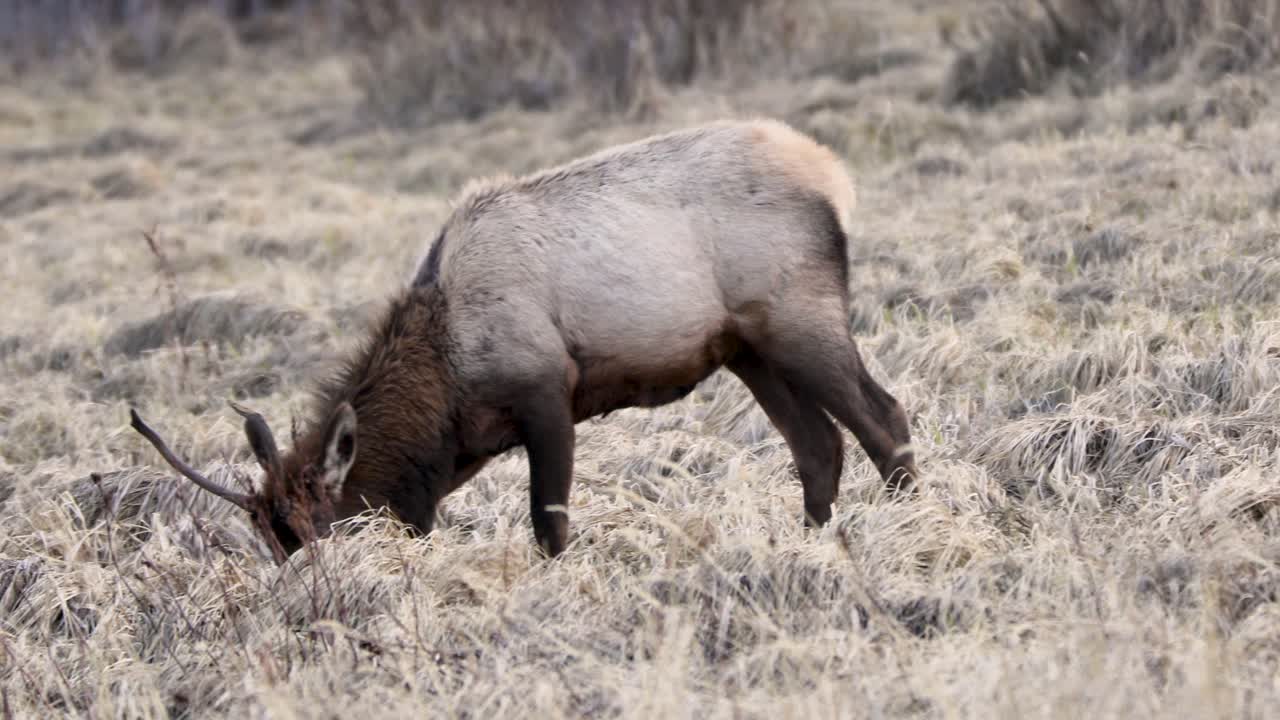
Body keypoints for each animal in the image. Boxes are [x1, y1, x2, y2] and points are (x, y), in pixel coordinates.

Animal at [129, 118, 920, 566]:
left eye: (323, 526)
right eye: (272, 540)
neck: (448, 386)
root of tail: (830, 174)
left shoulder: (548, 391)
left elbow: (549, 522)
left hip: (798, 314)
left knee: (884, 418)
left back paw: (912, 524)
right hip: (748, 349)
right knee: (819, 445)